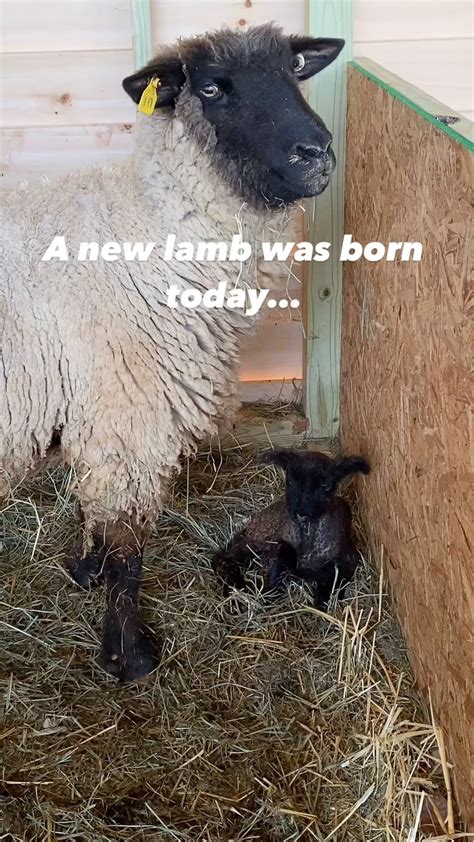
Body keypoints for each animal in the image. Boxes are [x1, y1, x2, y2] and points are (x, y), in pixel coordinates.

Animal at [0, 25, 345, 681]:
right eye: (210, 87)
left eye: (294, 68)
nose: (316, 154)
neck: (145, 232)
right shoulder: (130, 412)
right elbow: (128, 544)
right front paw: (127, 655)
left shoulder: (102, 412)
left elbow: (96, 511)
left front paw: (83, 571)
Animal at [212, 449, 370, 607]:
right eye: (290, 481)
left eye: (326, 486)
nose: (301, 513)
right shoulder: (279, 541)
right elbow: (279, 564)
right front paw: (268, 592)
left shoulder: (348, 559)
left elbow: (335, 583)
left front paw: (322, 601)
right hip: (260, 534)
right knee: (224, 556)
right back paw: (235, 585)